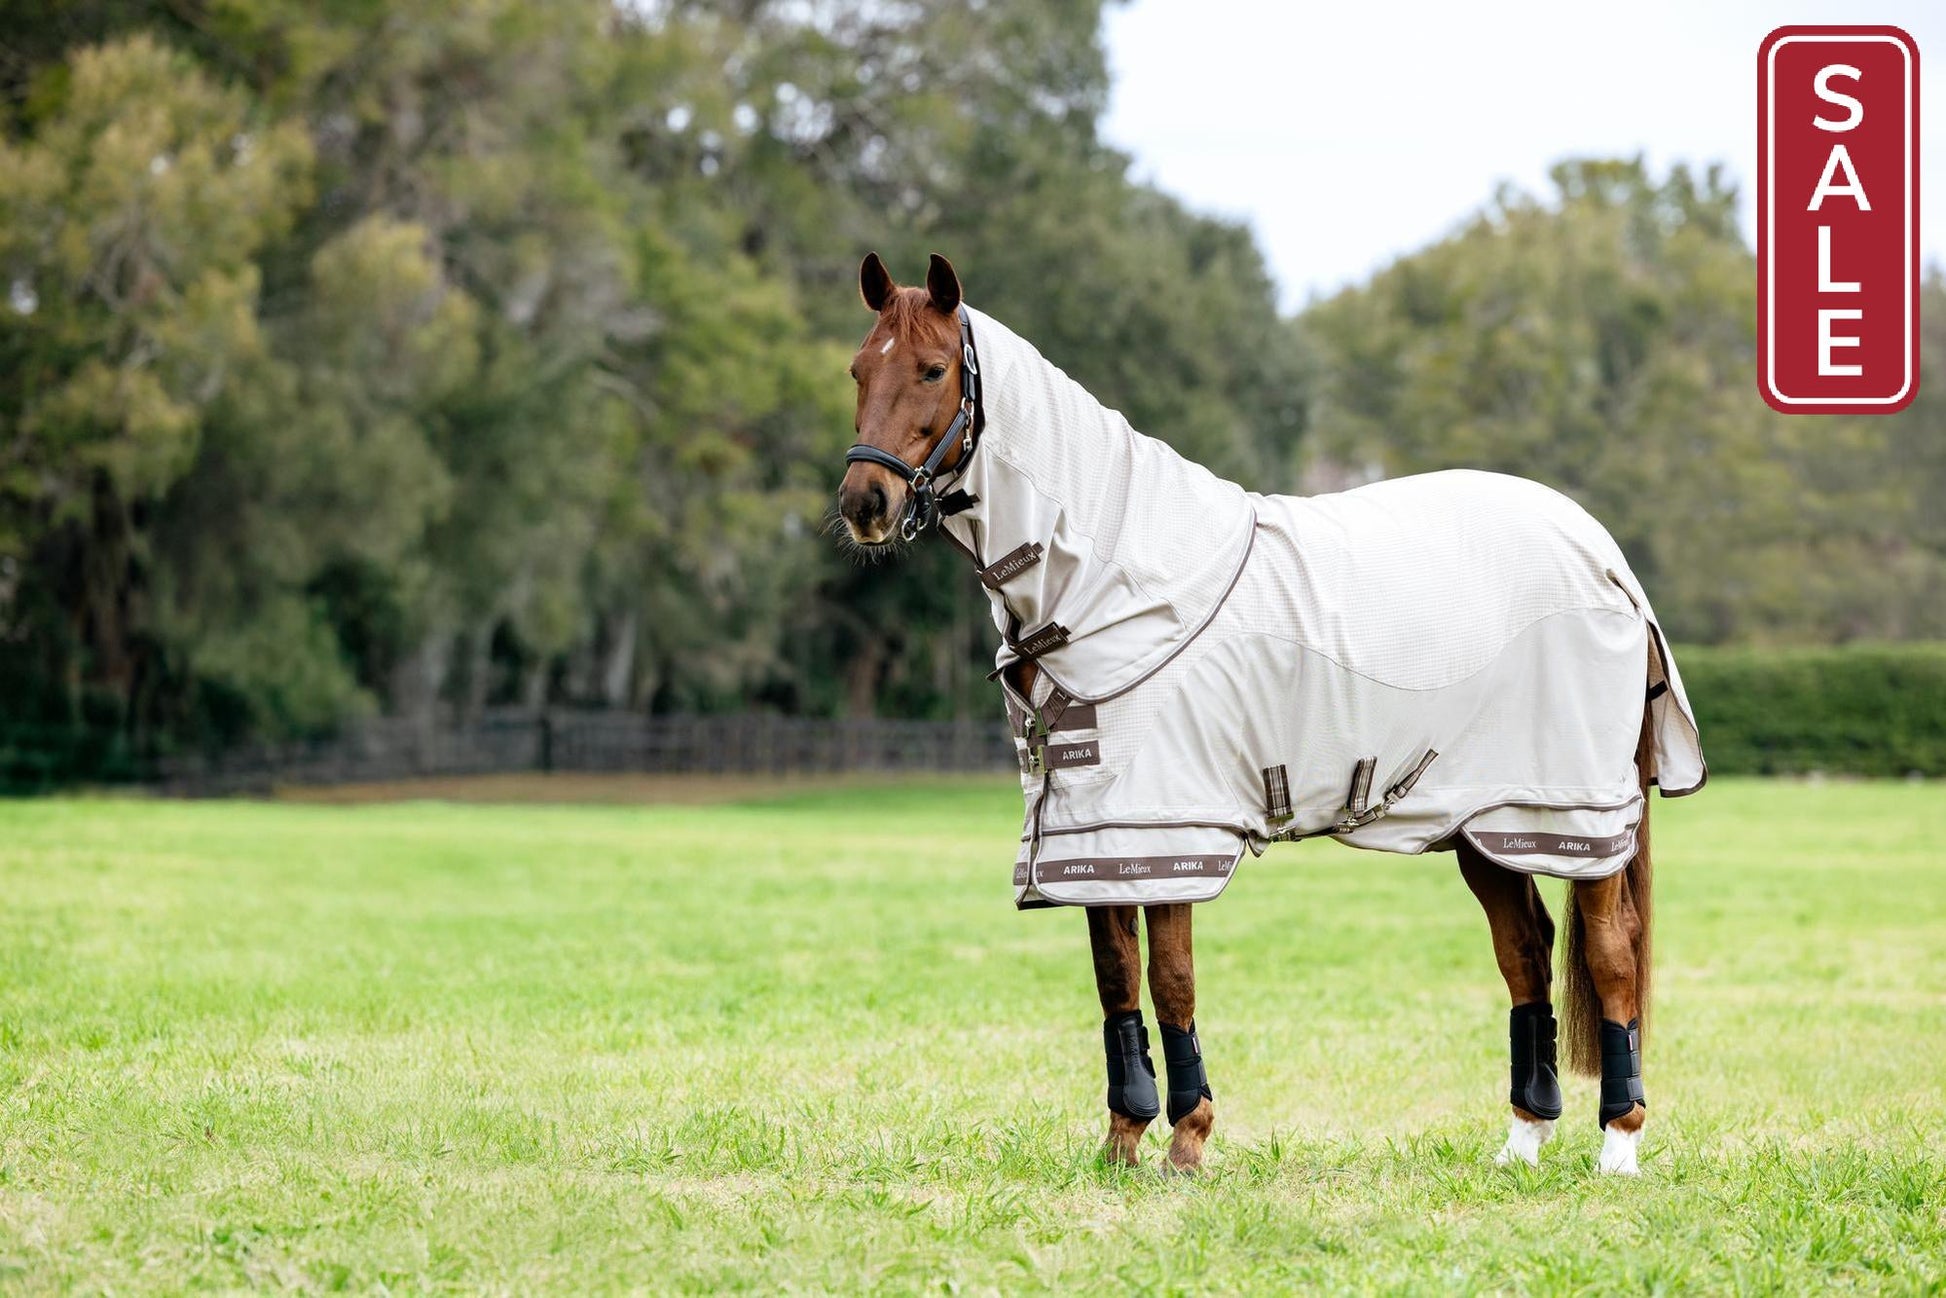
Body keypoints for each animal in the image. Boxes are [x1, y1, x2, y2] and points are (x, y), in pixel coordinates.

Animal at [835, 252, 1704, 1177]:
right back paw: (1523, 1139)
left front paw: (1187, 1141)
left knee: (1610, 951)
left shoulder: (1170, 826)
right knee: (1527, 951)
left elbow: (1171, 978)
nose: (864, 504)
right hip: (1485, 821)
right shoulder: (1097, 837)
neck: (1115, 577)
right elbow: (1116, 978)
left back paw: (1618, 1144)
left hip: (1573, 814)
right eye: (858, 369)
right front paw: (1122, 1141)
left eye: (932, 369)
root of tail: (1605, 559)